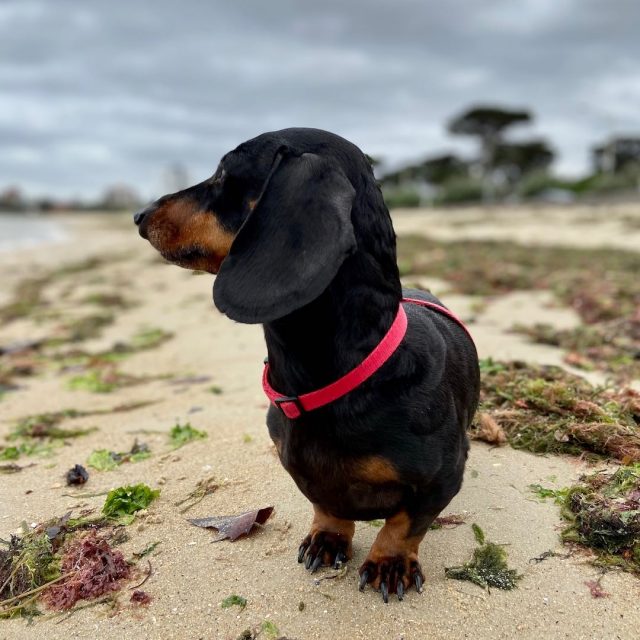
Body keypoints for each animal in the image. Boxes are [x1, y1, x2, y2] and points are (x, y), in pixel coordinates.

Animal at [135, 129, 478, 600]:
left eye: (223, 173)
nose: (139, 215)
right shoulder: (298, 467)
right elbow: (325, 503)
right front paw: (328, 537)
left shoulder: (440, 478)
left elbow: (405, 524)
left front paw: (389, 562)